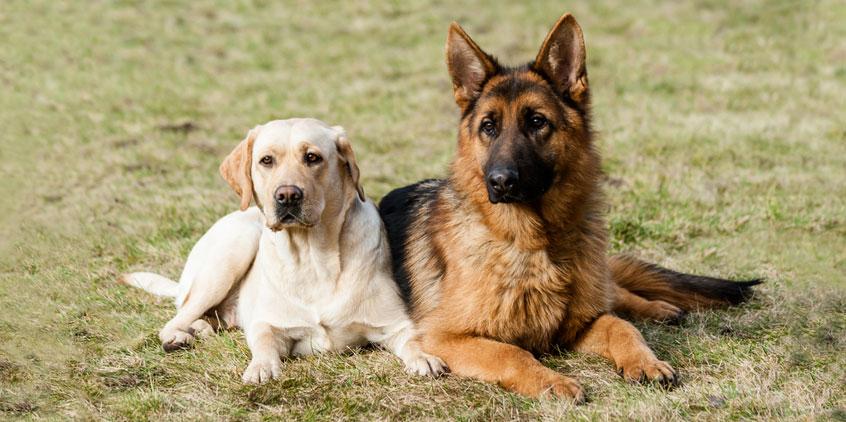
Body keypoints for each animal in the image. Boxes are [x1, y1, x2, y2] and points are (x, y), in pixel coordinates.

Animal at [123, 118, 450, 382]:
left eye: (312, 157)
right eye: (266, 160)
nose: (288, 195)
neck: (312, 256)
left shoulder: (396, 324)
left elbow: (413, 340)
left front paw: (424, 359)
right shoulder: (267, 324)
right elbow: (264, 343)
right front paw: (260, 368)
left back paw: (200, 329)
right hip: (235, 248)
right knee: (175, 318)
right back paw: (180, 336)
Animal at [380, 14, 760, 402]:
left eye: (537, 121)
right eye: (488, 126)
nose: (500, 182)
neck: (534, 244)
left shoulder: (581, 323)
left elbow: (620, 327)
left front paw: (645, 362)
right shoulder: (446, 337)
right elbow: (511, 353)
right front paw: (553, 381)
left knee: (615, 295)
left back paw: (659, 308)